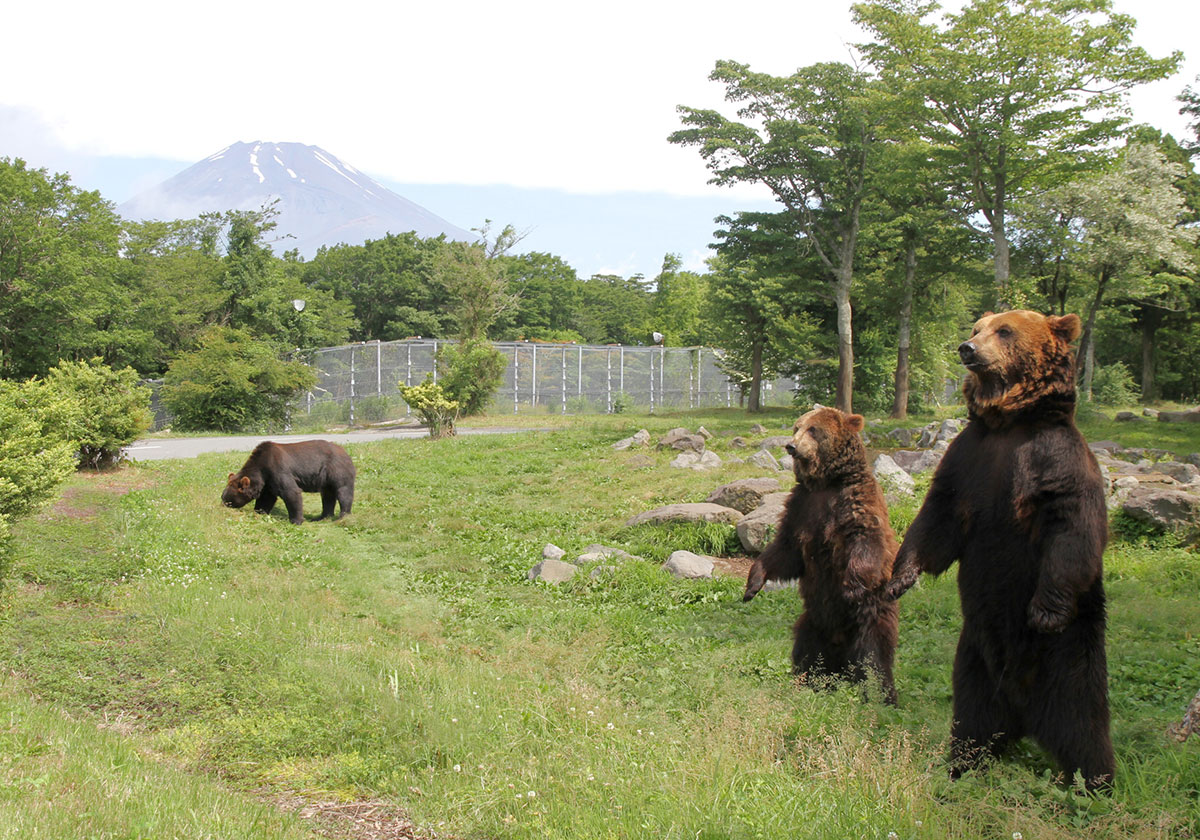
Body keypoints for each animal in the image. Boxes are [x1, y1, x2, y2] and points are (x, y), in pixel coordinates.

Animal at [220, 439, 352, 525]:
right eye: (223, 497)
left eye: (228, 501)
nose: (222, 505)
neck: (261, 468)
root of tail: (346, 452)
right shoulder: (268, 482)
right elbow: (266, 498)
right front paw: (259, 512)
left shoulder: (278, 469)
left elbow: (291, 492)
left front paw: (296, 520)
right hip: (326, 480)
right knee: (327, 496)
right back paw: (322, 517)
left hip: (337, 470)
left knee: (343, 491)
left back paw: (343, 516)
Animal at [739, 405, 902, 700]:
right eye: (797, 427)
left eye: (813, 429)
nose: (791, 446)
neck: (825, 483)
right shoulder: (801, 508)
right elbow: (784, 552)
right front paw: (752, 585)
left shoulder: (855, 502)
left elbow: (865, 543)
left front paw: (853, 587)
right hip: (813, 622)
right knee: (807, 651)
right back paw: (808, 681)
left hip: (869, 616)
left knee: (873, 655)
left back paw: (882, 695)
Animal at [892, 312, 1113, 792]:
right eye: (977, 328)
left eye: (1005, 330)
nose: (967, 348)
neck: (1008, 423)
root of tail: (1024, 716)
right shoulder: (968, 459)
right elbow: (936, 516)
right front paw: (900, 578)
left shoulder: (1055, 458)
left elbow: (1072, 526)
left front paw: (1045, 611)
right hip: (975, 661)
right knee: (972, 719)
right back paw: (960, 766)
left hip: (1071, 656)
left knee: (1085, 726)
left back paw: (1097, 784)